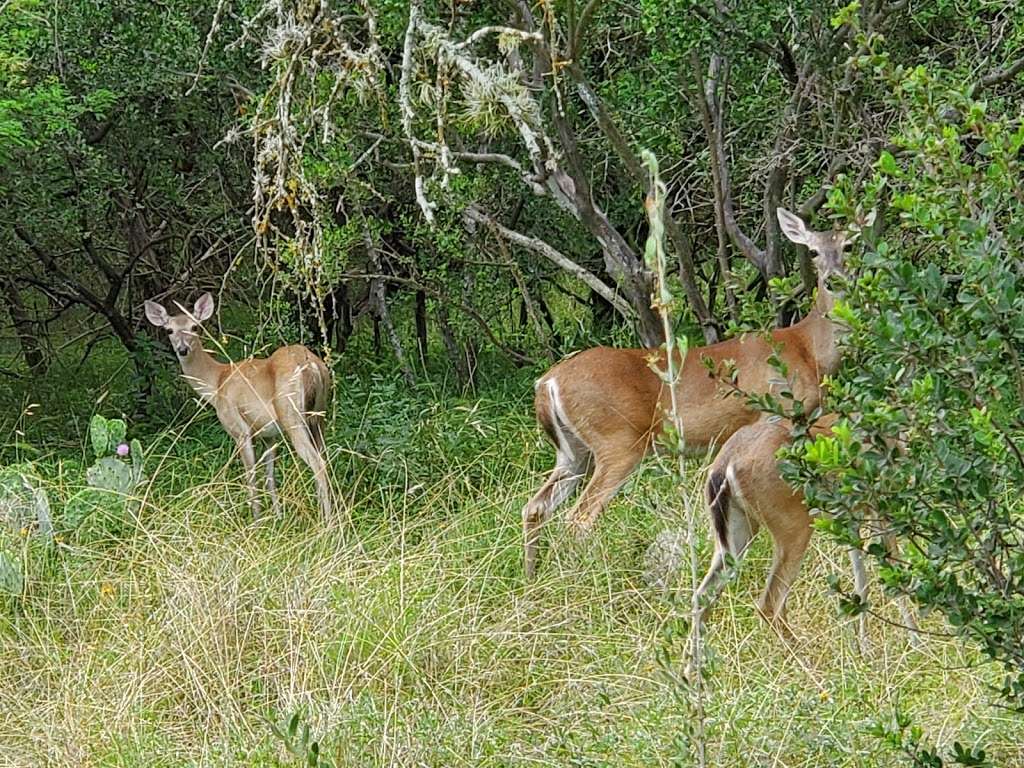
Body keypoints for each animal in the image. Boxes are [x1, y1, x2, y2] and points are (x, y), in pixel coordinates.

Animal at [144, 290, 333, 520]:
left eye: (195, 327)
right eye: (169, 330)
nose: (182, 349)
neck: (217, 383)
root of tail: (311, 365)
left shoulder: (239, 429)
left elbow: (251, 477)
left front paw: (256, 521)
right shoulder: (269, 435)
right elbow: (270, 477)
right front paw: (277, 517)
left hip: (291, 414)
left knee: (318, 464)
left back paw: (328, 522)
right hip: (318, 416)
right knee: (325, 459)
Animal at [524, 207, 851, 581]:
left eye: (849, 245)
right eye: (812, 251)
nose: (834, 278)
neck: (807, 348)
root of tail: (547, 382)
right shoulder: (773, 411)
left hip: (574, 452)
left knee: (535, 507)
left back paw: (532, 579)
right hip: (617, 442)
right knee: (578, 518)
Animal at [688, 415, 921, 651]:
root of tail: (725, 466)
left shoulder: (850, 520)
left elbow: (861, 583)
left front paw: (863, 648)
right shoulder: (881, 505)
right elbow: (894, 574)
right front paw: (917, 644)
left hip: (737, 534)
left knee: (702, 597)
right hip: (793, 528)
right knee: (769, 603)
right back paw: (805, 653)